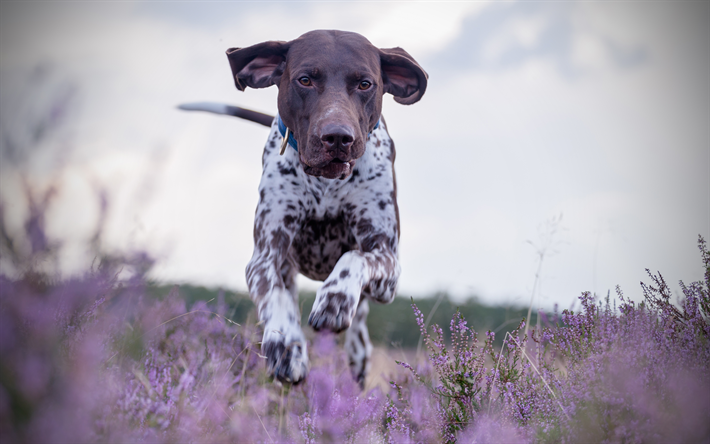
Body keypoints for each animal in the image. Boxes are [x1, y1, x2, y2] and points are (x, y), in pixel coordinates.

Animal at [225, 30, 426, 386]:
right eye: (305, 79)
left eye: (365, 83)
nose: (337, 138)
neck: (326, 183)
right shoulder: (265, 257)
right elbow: (275, 298)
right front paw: (285, 347)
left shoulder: (388, 266)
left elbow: (355, 258)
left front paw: (334, 301)